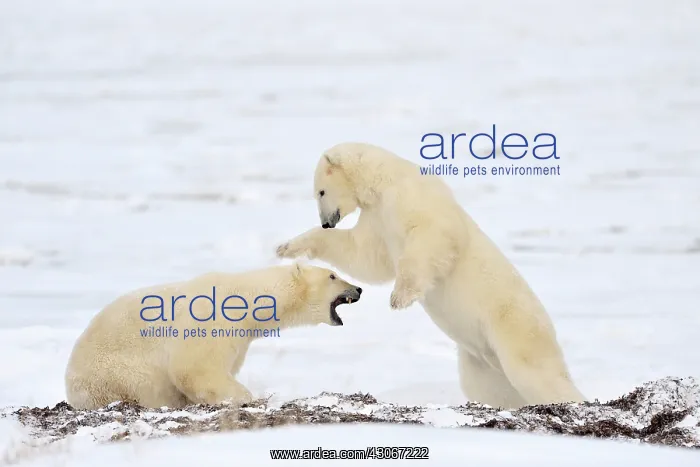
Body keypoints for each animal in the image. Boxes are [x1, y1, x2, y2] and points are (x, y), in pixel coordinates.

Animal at [65, 264, 362, 409]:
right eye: (332, 275)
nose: (358, 288)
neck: (247, 298)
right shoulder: (212, 319)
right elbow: (193, 368)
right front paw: (245, 397)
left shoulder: (241, 337)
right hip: (118, 373)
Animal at [276, 142, 585, 409]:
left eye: (320, 192)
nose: (326, 222)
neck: (384, 182)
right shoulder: (378, 221)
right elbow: (364, 256)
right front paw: (286, 247)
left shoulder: (412, 198)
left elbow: (432, 235)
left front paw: (399, 297)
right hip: (480, 362)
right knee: (491, 387)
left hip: (514, 325)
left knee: (535, 372)